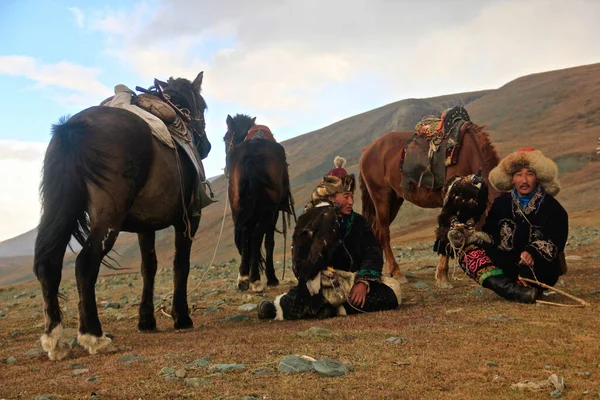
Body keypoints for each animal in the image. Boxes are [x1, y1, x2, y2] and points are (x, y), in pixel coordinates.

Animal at [35, 70, 210, 360]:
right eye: (204, 106)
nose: (206, 146)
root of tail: (70, 128)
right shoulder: (189, 219)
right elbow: (180, 264)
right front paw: (182, 317)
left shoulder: (146, 225)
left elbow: (148, 267)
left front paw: (146, 321)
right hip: (108, 218)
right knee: (85, 264)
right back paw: (94, 336)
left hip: (59, 209)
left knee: (48, 264)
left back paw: (55, 340)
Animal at [223, 114, 296, 292]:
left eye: (225, 138)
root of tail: (251, 154)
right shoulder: (274, 211)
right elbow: (269, 242)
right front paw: (271, 278)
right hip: (268, 210)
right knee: (256, 235)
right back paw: (255, 279)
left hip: (238, 207)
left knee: (245, 234)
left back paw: (244, 278)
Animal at [358, 123, 500, 286]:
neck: (470, 156)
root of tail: (366, 151)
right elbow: (447, 234)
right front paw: (442, 277)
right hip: (381, 197)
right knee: (383, 232)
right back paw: (397, 273)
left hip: (395, 200)